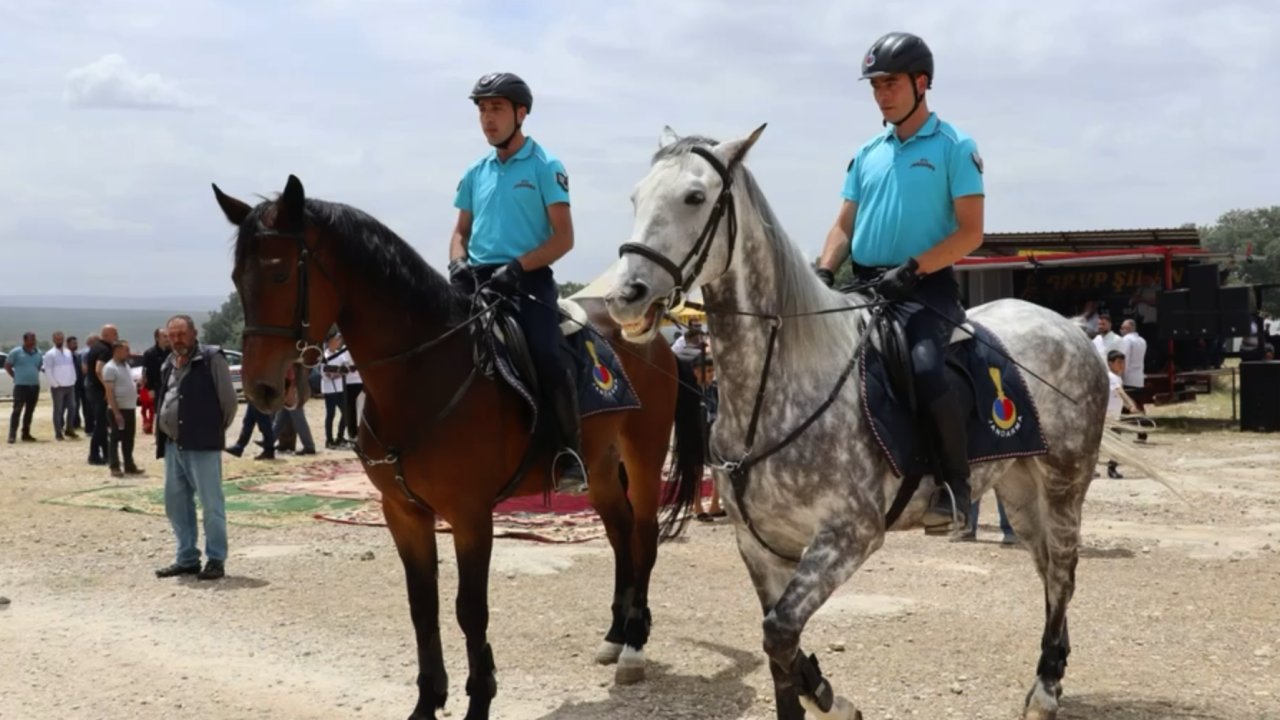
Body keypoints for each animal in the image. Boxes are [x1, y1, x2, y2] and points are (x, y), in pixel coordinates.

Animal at [213, 174, 706, 717]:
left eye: (280, 274)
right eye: (236, 278)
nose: (262, 388)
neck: (421, 373)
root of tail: (651, 336)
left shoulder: (470, 515)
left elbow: (469, 610)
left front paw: (478, 699)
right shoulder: (403, 513)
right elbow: (421, 606)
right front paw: (427, 701)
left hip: (643, 455)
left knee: (643, 536)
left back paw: (634, 644)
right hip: (598, 467)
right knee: (620, 534)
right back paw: (616, 634)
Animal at [604, 126, 1116, 712]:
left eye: (694, 197)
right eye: (636, 197)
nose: (625, 296)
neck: (775, 390)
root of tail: (1069, 327)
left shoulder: (848, 536)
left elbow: (779, 633)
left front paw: (830, 699)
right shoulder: (760, 548)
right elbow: (781, 650)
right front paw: (823, 694)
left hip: (1064, 485)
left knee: (1063, 573)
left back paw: (1048, 688)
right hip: (1020, 489)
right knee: (1048, 573)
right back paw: (1048, 673)